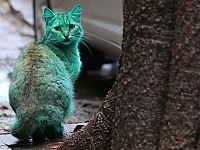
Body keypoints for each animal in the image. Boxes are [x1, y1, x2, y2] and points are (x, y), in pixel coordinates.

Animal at [8, 4, 83, 141]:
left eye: (71, 26)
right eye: (57, 28)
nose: (66, 35)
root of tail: (27, 113)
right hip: (67, 98)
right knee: (52, 126)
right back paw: (57, 131)